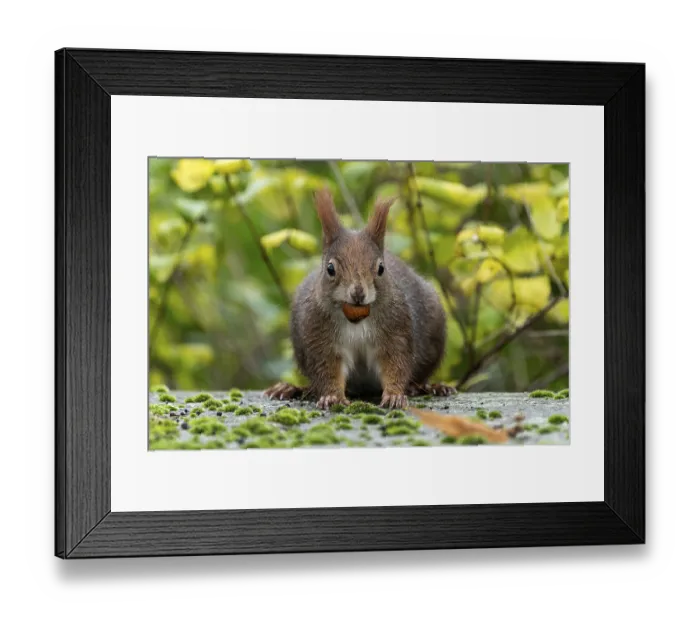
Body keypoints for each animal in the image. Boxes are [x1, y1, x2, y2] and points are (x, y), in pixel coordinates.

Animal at [264, 188, 455, 410]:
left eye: (381, 268)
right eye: (330, 268)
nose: (358, 293)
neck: (355, 317)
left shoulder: (396, 331)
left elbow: (396, 364)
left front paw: (394, 395)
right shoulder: (319, 336)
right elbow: (327, 369)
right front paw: (332, 397)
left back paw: (428, 387)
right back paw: (293, 389)